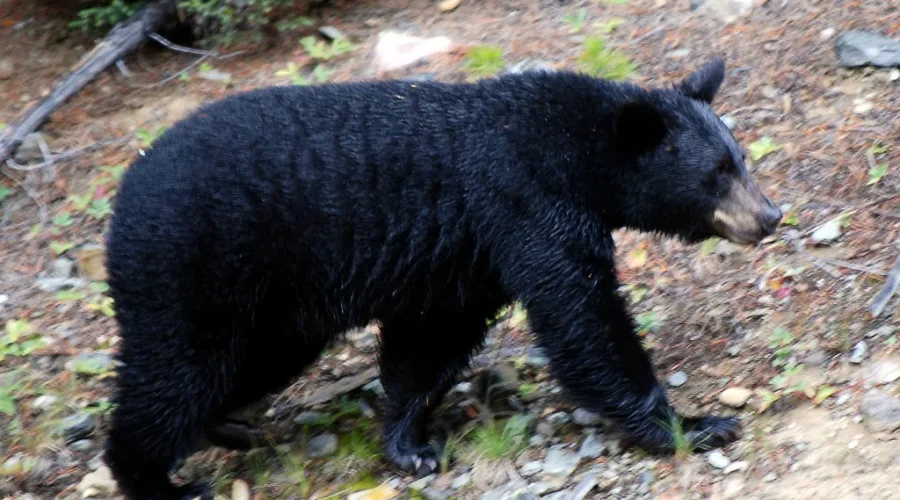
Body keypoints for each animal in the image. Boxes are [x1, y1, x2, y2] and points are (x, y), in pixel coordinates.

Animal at [103, 58, 782, 499]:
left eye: (740, 158)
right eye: (716, 173)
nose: (770, 216)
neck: (577, 152)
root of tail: (124, 191)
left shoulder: (467, 256)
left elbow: (430, 342)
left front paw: (409, 444)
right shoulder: (526, 203)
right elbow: (583, 319)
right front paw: (692, 424)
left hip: (272, 308)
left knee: (248, 365)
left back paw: (226, 426)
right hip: (192, 268)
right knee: (175, 373)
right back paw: (157, 480)